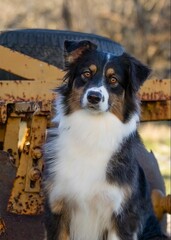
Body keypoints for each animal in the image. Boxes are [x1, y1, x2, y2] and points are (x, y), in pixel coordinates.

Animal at [43, 40, 167, 239]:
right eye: (86, 73)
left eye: (114, 80)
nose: (94, 97)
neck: (92, 131)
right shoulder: (57, 209)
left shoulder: (120, 217)